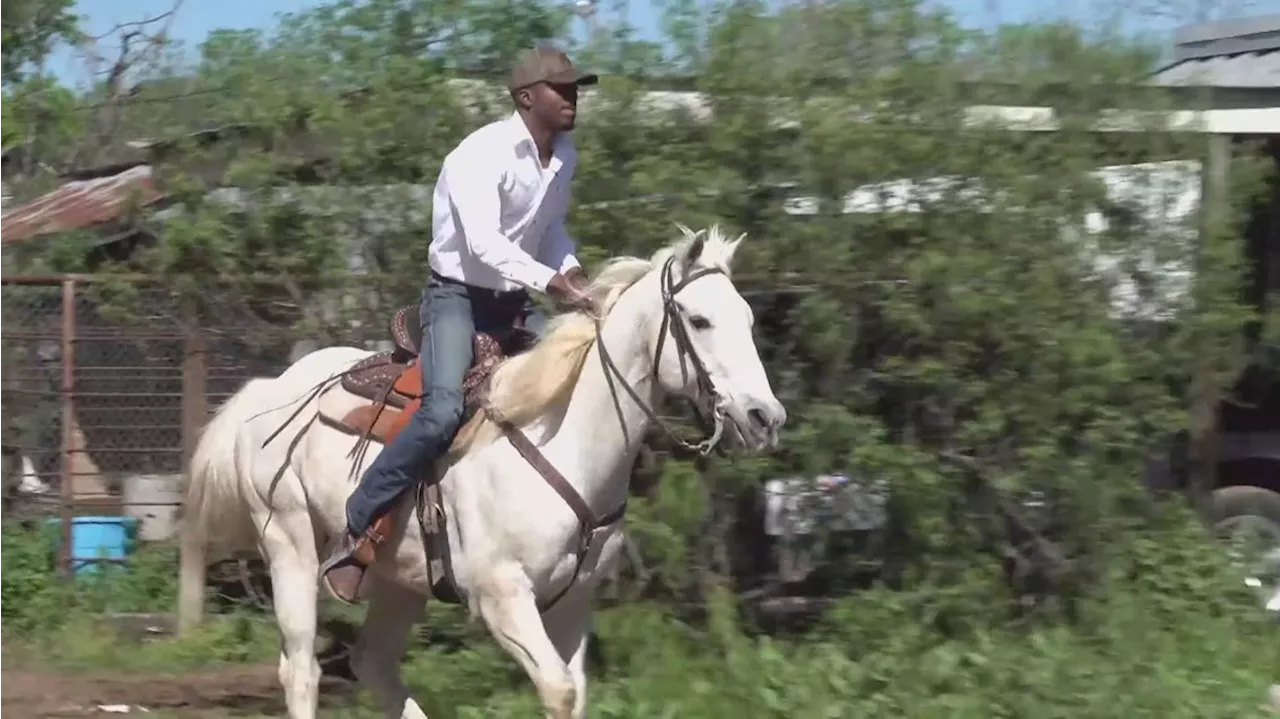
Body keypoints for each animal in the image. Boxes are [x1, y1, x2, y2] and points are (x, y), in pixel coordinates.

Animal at [177, 225, 778, 716]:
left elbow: (574, 694)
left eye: (749, 320)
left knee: (374, 664)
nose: (765, 417)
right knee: (301, 669)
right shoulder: (502, 597)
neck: (562, 438)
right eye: (699, 320)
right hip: (290, 544)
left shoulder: (572, 602)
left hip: (400, 578)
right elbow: (558, 692)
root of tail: (269, 390)